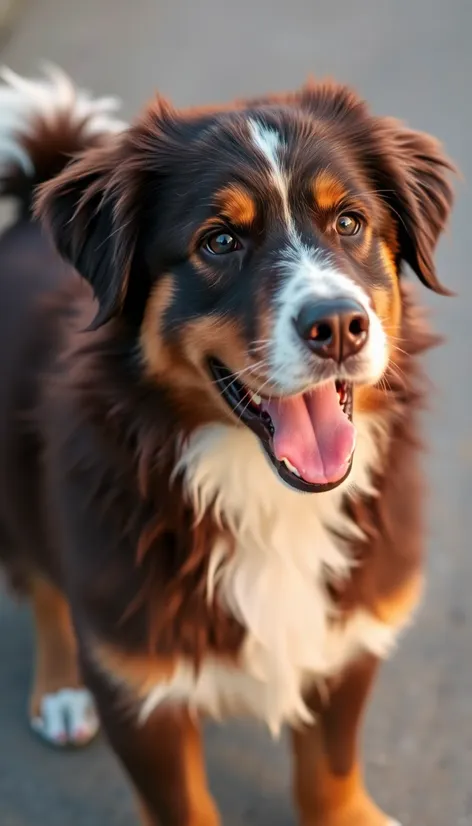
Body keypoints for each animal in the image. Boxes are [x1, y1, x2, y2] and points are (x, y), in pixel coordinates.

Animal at [0, 66, 454, 824]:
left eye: (350, 222)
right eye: (219, 241)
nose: (339, 325)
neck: (265, 499)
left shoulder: (350, 633)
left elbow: (331, 769)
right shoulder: (139, 687)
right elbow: (183, 804)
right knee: (42, 585)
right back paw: (60, 689)